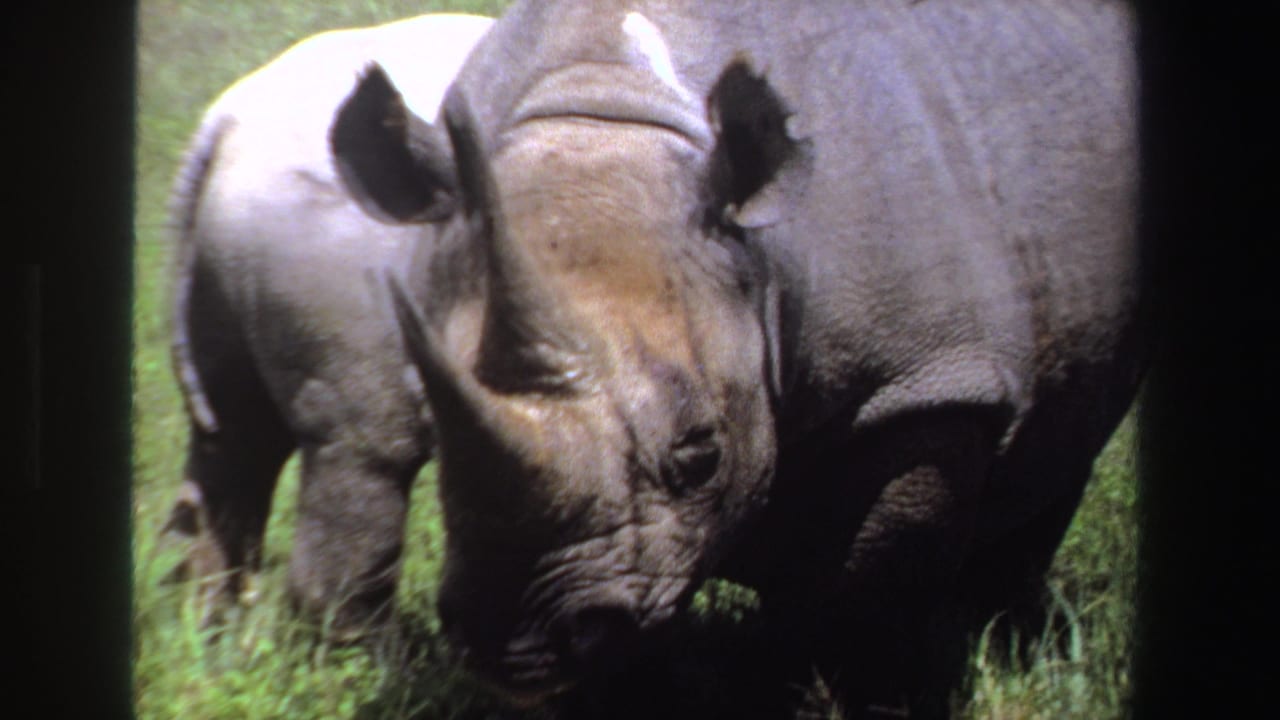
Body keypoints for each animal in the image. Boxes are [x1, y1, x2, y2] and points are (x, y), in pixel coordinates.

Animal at [163, 13, 492, 640]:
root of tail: (230, 119)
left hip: (220, 290)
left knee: (230, 452)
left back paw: (212, 632)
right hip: (351, 316)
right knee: (362, 472)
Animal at [330, 0, 1143, 714]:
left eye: (701, 455)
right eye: (437, 436)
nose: (517, 647)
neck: (603, 109)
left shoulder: (921, 381)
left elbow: (872, 603)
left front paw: (856, 699)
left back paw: (1008, 639)